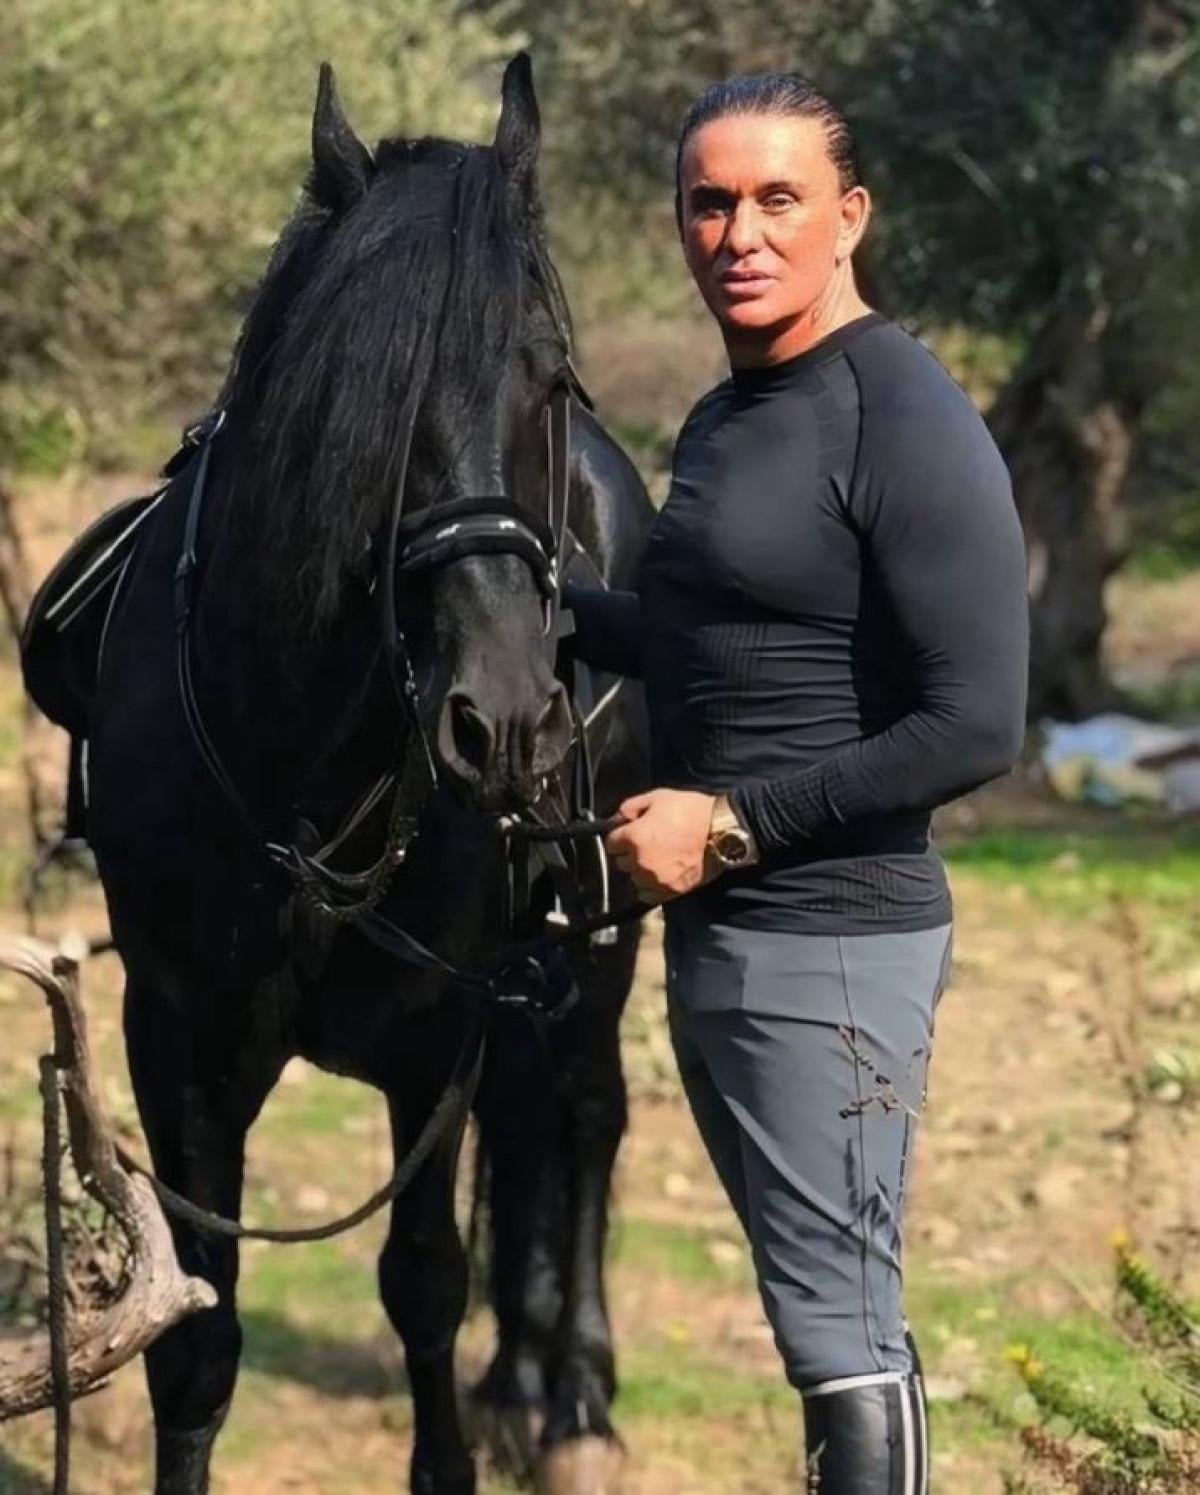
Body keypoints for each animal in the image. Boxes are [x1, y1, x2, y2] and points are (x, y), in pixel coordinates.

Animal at [21, 53, 652, 1494]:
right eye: (358, 408)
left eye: (550, 381)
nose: (506, 721)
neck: (314, 770)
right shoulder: (179, 1039)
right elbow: (197, 1332)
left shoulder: (439, 1038)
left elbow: (424, 1278)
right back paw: (521, 1378)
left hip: (605, 938)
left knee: (587, 1112)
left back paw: (577, 1398)